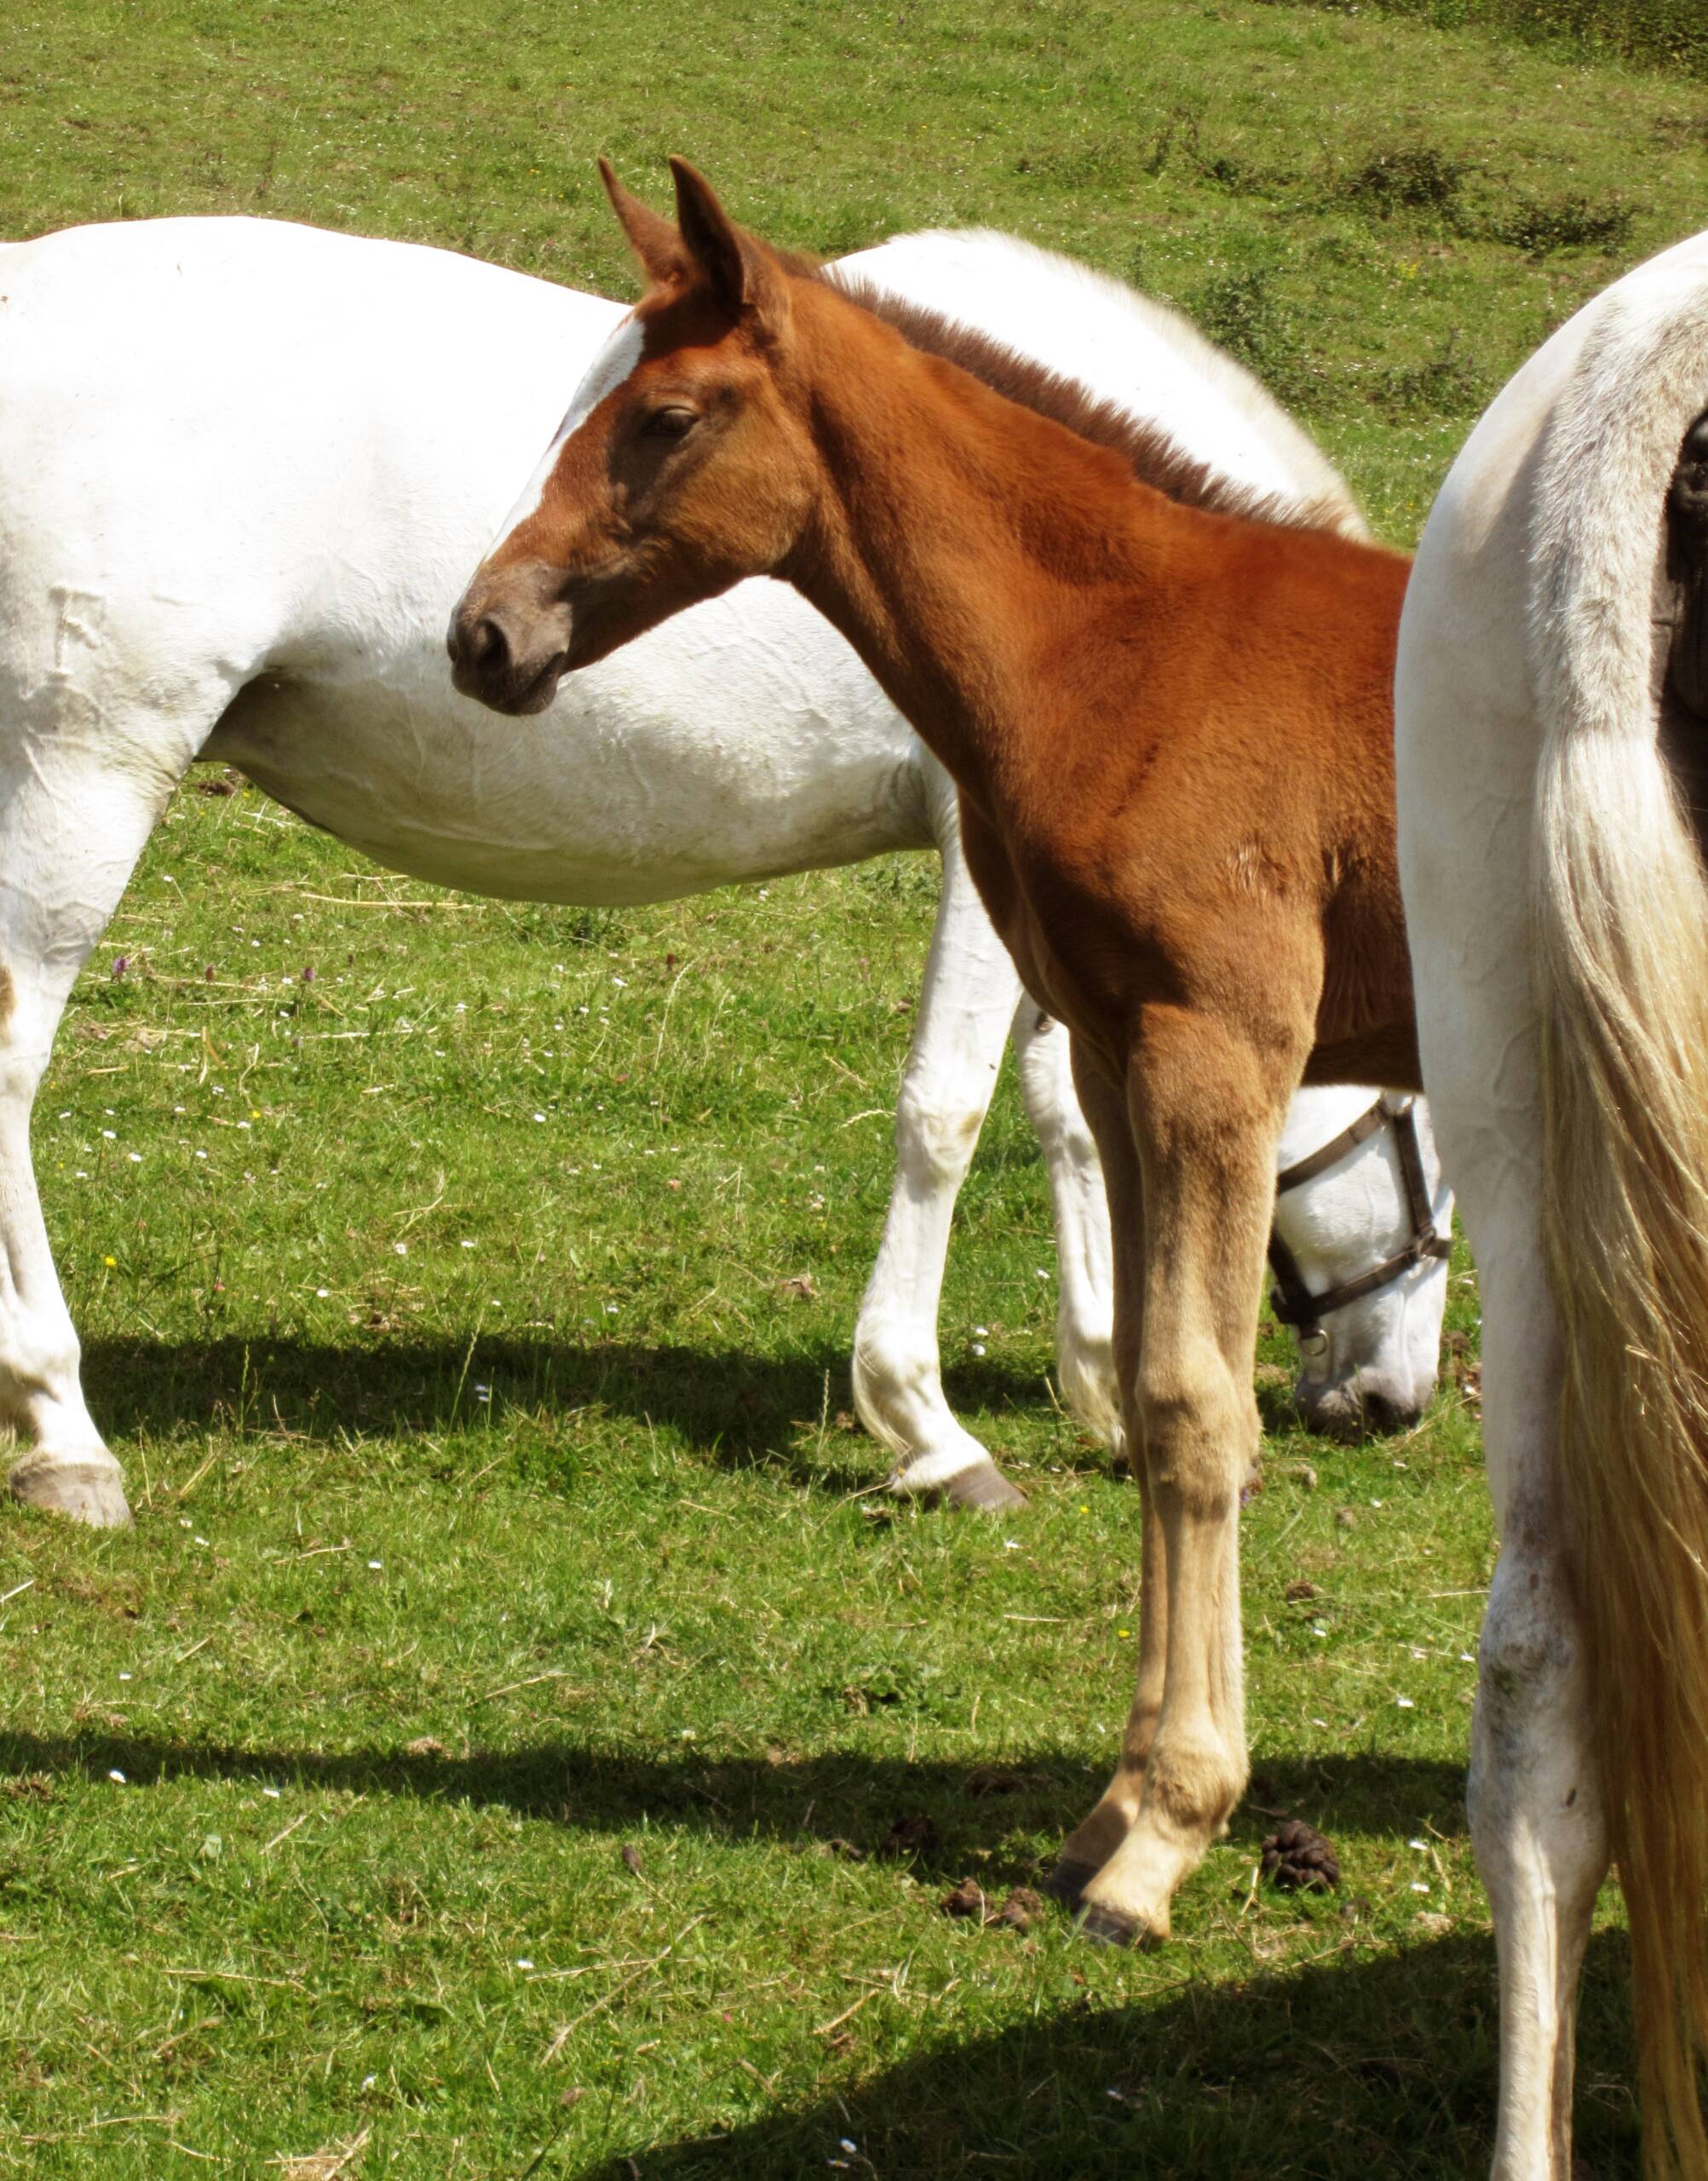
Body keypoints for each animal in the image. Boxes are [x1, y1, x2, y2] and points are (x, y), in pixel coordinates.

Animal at [0, 212, 1447, 1529]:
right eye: (1426, 1131)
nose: (1389, 1405)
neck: (1106, 585)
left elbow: (1069, 1114)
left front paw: (1101, 1382)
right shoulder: (984, 870)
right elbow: (948, 1115)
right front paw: (927, 1428)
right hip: (88, 771)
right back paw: (63, 1428)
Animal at [449, 156, 1420, 1979]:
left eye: (664, 417)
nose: (481, 632)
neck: (1134, 647)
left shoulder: (1220, 1048)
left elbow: (1198, 1411)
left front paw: (1164, 1840)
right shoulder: (1119, 1051)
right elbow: (1160, 1393)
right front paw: (1113, 1812)